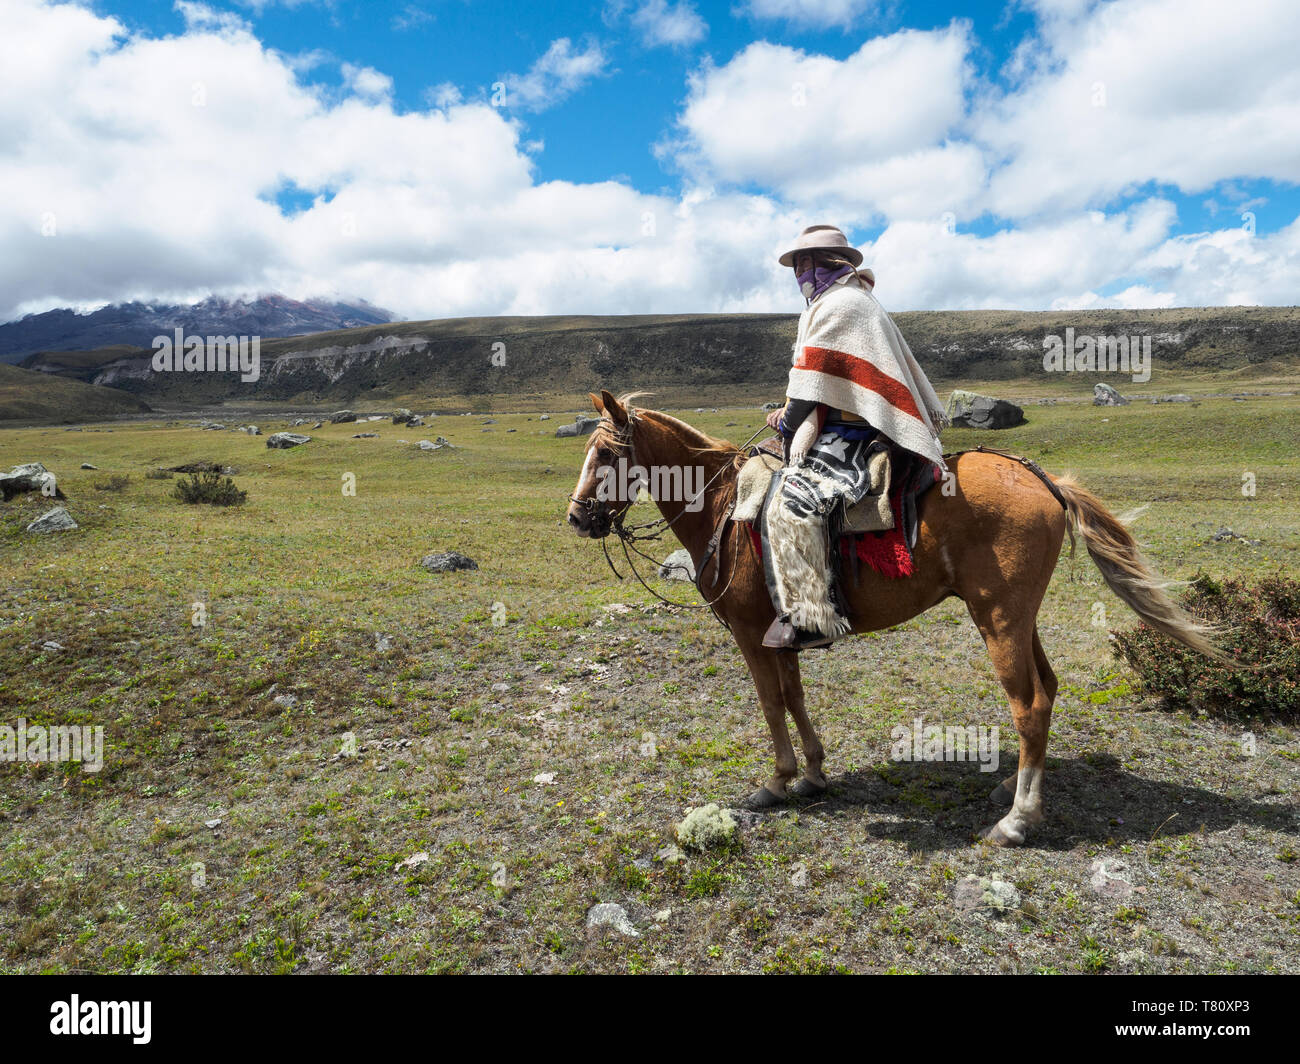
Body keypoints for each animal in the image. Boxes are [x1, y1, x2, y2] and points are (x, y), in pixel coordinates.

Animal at [565, 390, 1223, 846]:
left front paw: (776, 782)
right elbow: (795, 698)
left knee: (1029, 706)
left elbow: (772, 705)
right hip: (1020, 618)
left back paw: (1016, 821)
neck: (726, 509)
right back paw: (1011, 789)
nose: (576, 518)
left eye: (607, 455)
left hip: (998, 620)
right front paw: (812, 775)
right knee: (1049, 688)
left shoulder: (752, 636)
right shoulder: (782, 633)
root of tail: (1043, 480)